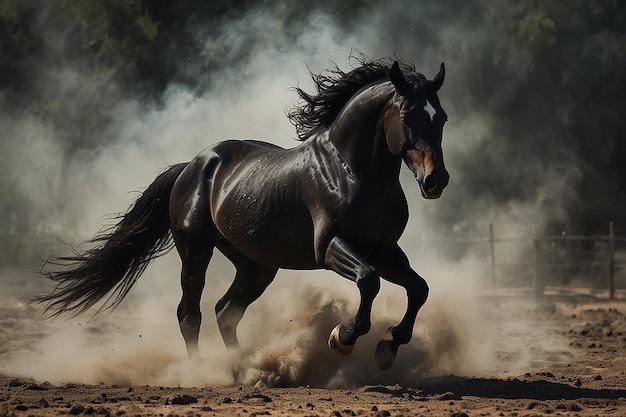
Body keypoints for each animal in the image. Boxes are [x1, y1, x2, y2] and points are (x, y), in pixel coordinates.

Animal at [36, 57, 446, 368]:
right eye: (407, 115)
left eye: (440, 116)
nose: (435, 180)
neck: (349, 169)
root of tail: (192, 165)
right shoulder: (331, 247)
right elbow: (369, 282)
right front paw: (342, 338)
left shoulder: (384, 251)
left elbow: (419, 288)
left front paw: (388, 347)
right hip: (196, 252)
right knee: (191, 313)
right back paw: (205, 371)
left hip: (256, 265)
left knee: (225, 311)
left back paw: (241, 367)